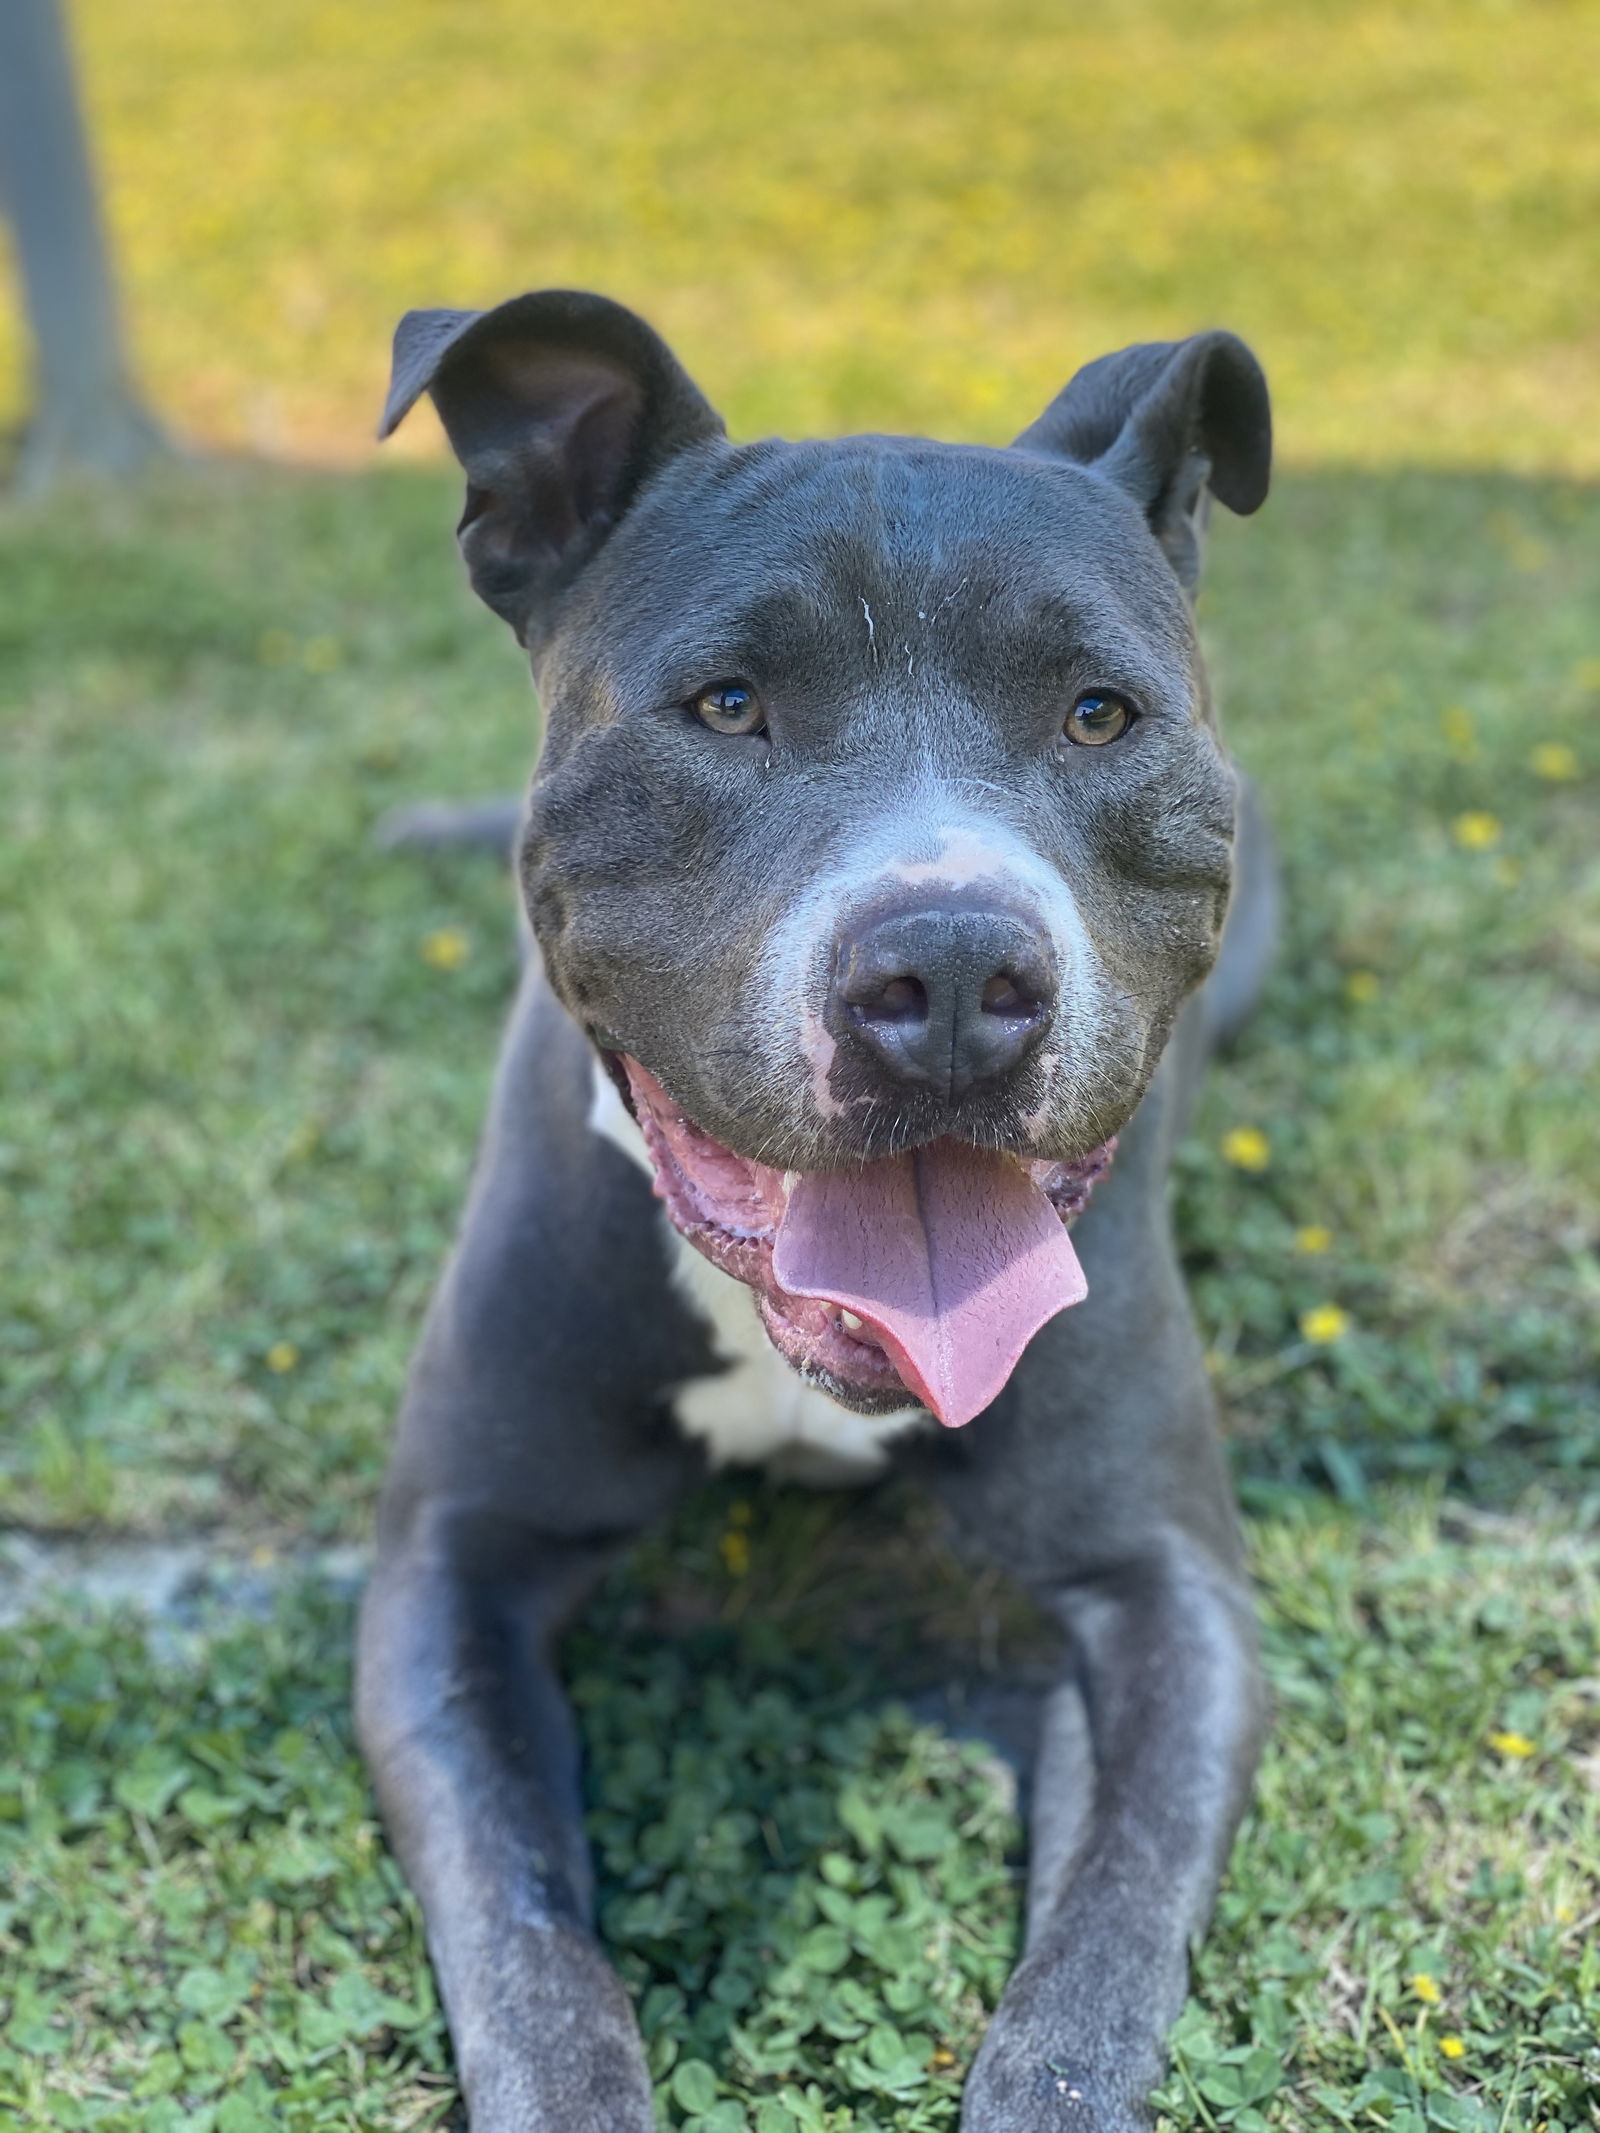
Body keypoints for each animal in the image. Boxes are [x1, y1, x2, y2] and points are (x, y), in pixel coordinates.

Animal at [360, 287, 1280, 2133]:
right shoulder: (449, 1560)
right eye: (726, 703)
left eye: (1098, 714)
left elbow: (1103, 1953)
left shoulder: (1163, 1584)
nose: (953, 972)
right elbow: (524, 1936)